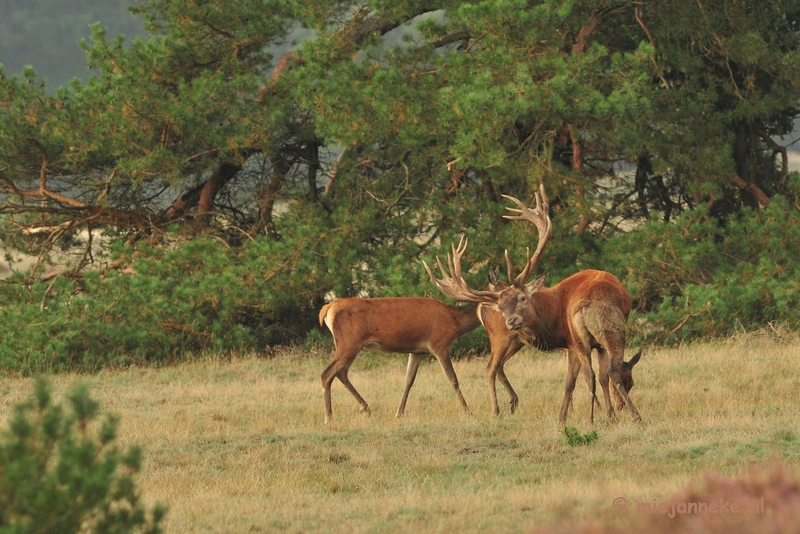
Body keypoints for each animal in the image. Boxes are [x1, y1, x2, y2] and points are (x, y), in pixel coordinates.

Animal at [318, 298, 482, 428]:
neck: (456, 320)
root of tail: (328, 308)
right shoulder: (439, 345)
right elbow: (453, 378)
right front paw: (468, 411)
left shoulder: (417, 351)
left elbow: (409, 380)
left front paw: (399, 413)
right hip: (349, 343)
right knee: (327, 373)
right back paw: (329, 418)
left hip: (349, 346)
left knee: (341, 372)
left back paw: (364, 408)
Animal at [424, 186, 644, 426]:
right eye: (502, 307)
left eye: (522, 298)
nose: (511, 320)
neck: (553, 315)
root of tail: (481, 307)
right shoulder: (572, 342)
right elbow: (577, 380)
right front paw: (579, 416)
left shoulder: (580, 343)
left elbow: (588, 380)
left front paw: (590, 416)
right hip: (605, 329)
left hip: (526, 340)